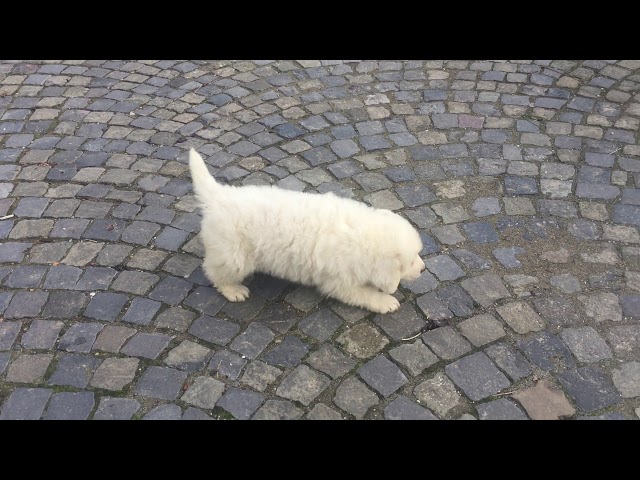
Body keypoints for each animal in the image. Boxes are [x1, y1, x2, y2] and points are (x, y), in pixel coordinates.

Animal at [188, 150, 424, 316]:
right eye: (411, 261)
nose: (423, 269)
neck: (362, 235)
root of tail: (219, 197)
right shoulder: (339, 282)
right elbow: (364, 293)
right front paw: (386, 301)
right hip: (233, 255)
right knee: (215, 272)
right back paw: (233, 290)